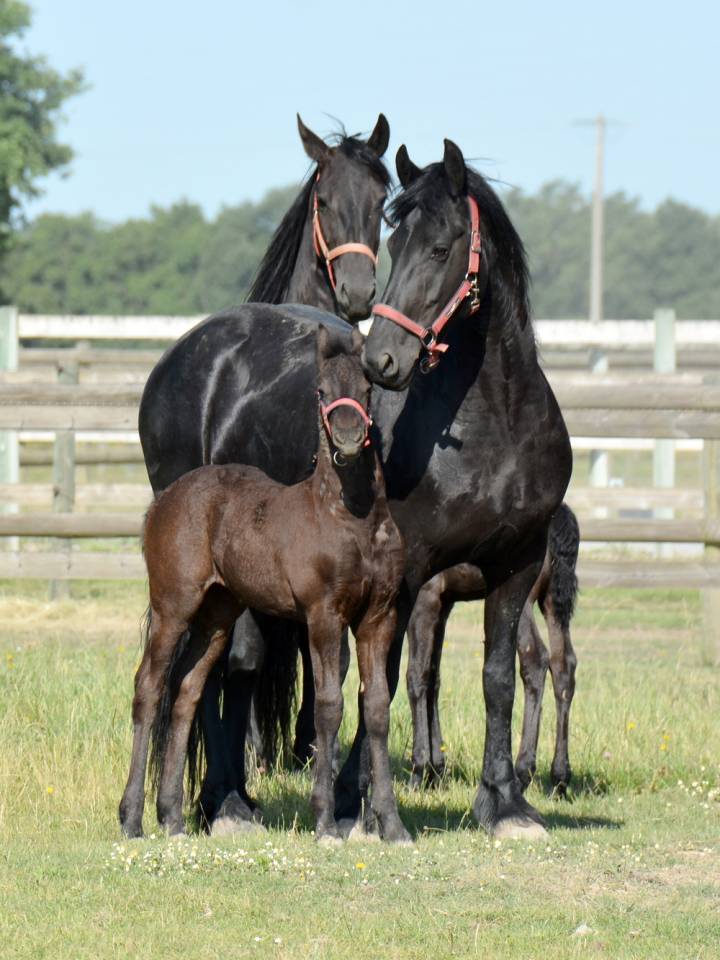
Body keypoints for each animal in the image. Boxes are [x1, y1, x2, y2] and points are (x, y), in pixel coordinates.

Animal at [121, 327, 409, 844]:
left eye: (368, 390)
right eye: (320, 391)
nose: (349, 439)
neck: (351, 517)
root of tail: (164, 500)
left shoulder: (379, 617)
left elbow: (376, 708)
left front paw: (392, 825)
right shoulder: (323, 615)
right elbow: (329, 706)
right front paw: (325, 821)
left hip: (217, 613)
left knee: (188, 690)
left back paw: (172, 817)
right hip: (174, 605)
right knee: (150, 687)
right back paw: (132, 818)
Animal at [405, 503, 579, 794]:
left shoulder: (425, 596)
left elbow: (416, 677)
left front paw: (419, 772)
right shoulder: (444, 602)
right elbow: (433, 678)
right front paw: (436, 771)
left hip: (521, 599)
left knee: (536, 659)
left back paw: (523, 771)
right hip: (552, 602)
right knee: (563, 664)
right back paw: (559, 777)